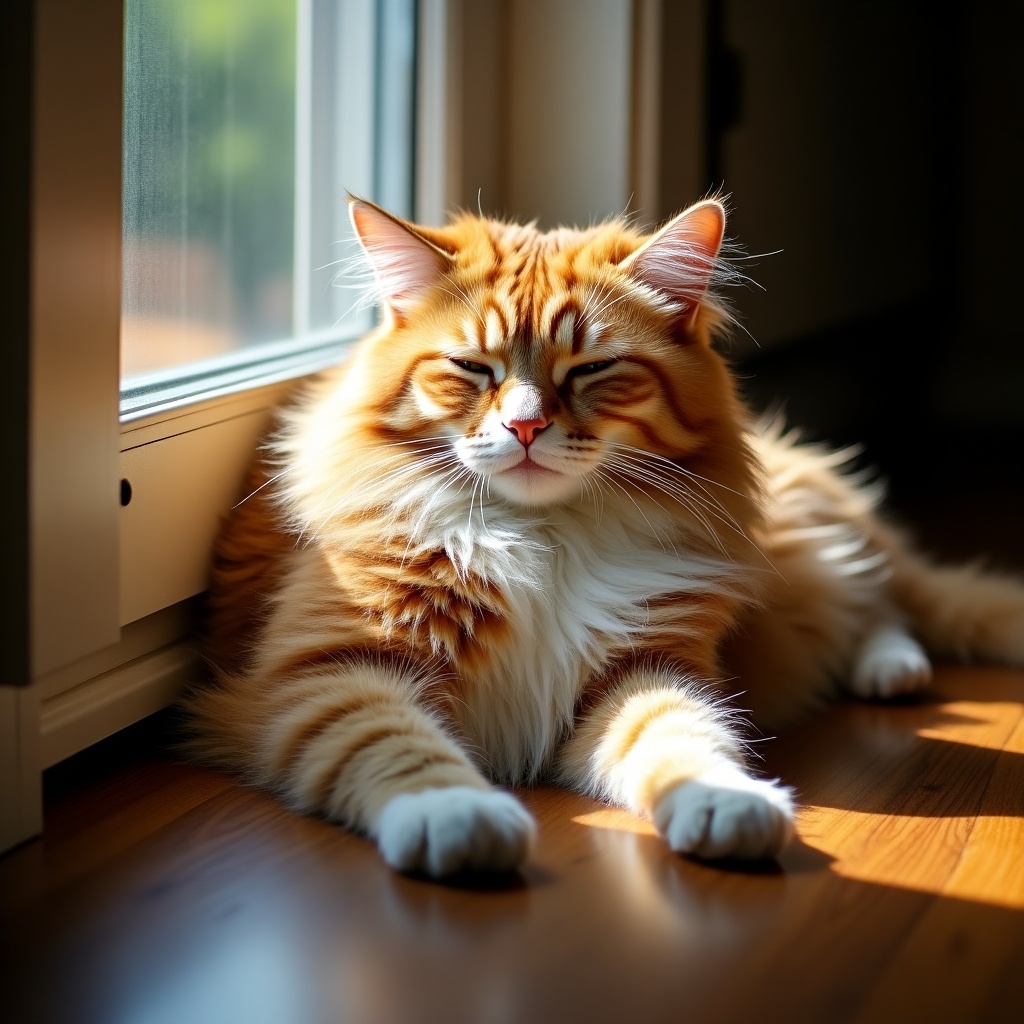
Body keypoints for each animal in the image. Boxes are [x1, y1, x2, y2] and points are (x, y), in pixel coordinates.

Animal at [188, 195, 1024, 876]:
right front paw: (460, 816)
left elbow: (682, 738)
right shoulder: (327, 673)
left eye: (590, 370)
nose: (525, 426)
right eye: (472, 368)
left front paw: (726, 802)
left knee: (886, 600)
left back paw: (893, 671)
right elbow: (399, 748)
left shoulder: (642, 667)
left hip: (820, 545)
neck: (541, 537)